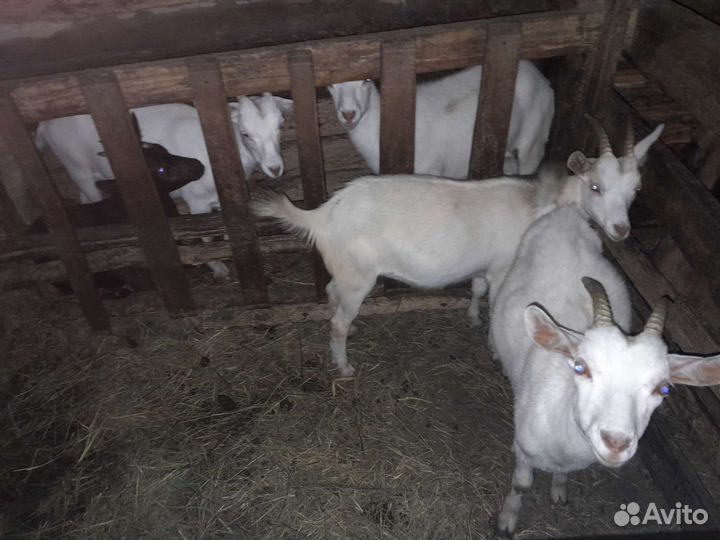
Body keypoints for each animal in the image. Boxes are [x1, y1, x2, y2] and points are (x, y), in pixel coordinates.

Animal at [36, 93, 292, 278]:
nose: (274, 168)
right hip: (78, 168)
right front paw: (217, 267)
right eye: (245, 133)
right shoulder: (197, 200)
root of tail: (44, 125)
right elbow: (206, 237)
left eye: (280, 126)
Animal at [252, 118, 664, 376]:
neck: (541, 202)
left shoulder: (486, 266)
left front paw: (472, 318)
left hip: (345, 271)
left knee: (330, 292)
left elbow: (477, 289)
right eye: (595, 187)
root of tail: (323, 215)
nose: (621, 229)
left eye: (636, 190)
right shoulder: (505, 266)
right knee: (337, 320)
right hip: (359, 276)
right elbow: (497, 300)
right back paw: (344, 365)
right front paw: (493, 344)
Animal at [489, 206, 720, 535]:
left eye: (663, 388)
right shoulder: (522, 446)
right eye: (580, 366)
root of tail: (567, 214)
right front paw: (507, 521)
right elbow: (521, 484)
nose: (616, 442)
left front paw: (559, 491)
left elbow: (563, 477)